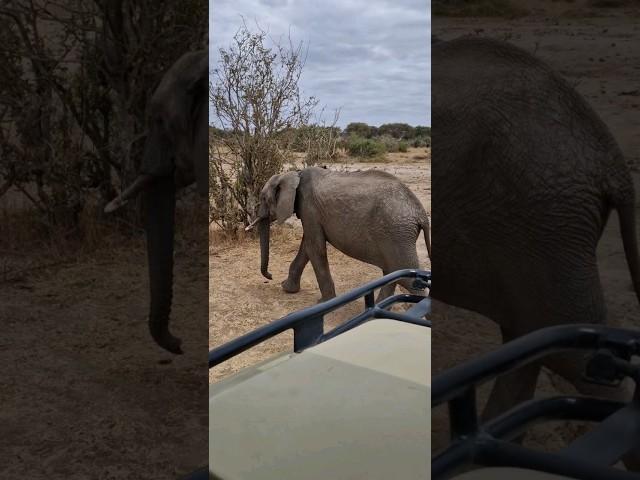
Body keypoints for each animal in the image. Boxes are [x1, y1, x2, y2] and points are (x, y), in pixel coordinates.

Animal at [248, 167, 432, 302]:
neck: (294, 174)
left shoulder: (309, 207)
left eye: (263, 198)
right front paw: (287, 288)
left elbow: (315, 248)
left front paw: (324, 302)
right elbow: (307, 247)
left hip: (397, 234)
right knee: (392, 274)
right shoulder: (310, 213)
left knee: (407, 279)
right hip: (398, 235)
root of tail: (421, 213)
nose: (270, 276)